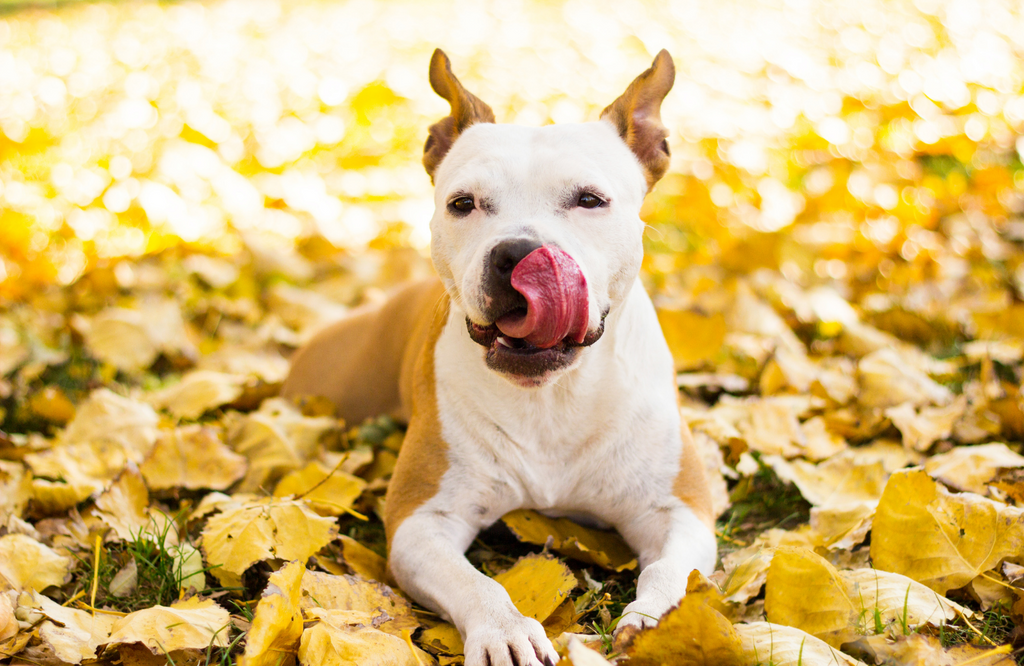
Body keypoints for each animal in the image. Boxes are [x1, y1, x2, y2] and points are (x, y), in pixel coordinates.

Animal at [280, 47, 712, 663]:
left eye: (590, 200)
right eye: (463, 203)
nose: (519, 252)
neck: (552, 397)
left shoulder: (677, 511)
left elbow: (672, 574)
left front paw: (660, 623)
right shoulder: (421, 520)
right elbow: (475, 582)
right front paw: (505, 630)